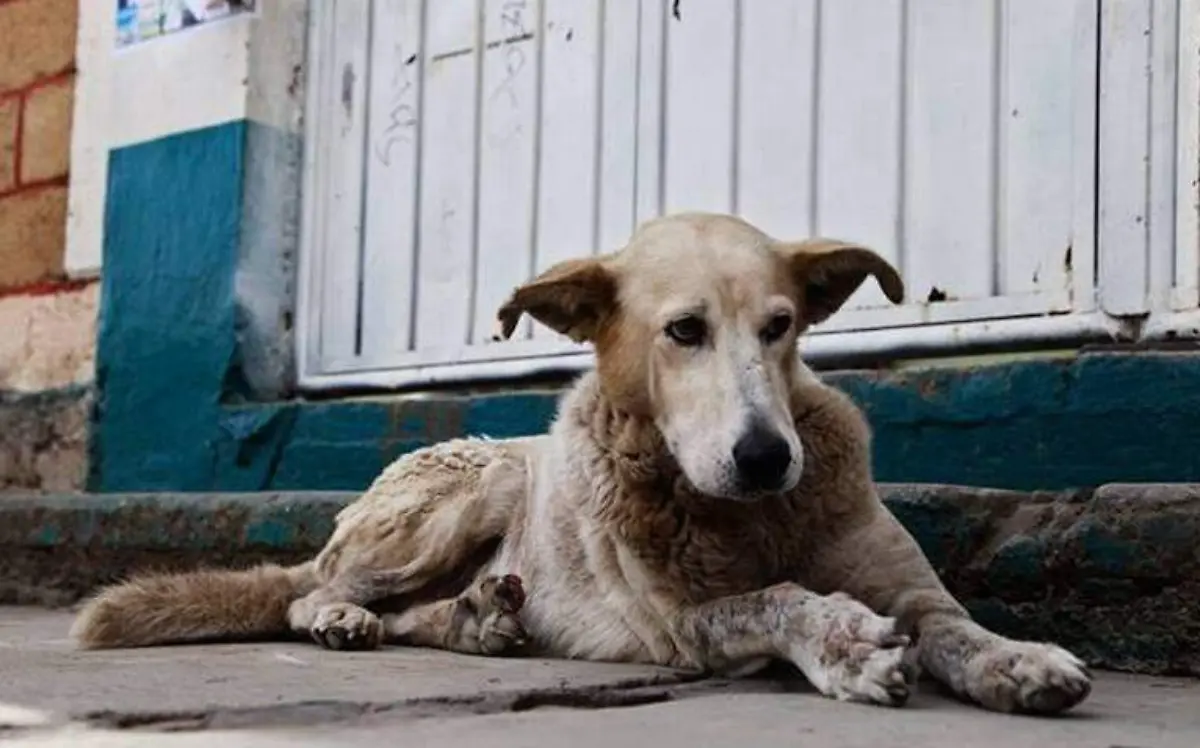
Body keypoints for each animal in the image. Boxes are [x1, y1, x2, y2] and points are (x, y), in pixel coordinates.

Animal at [70, 213, 1094, 715]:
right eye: (683, 331)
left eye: (781, 325)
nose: (768, 457)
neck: (750, 517)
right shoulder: (685, 628)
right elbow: (776, 600)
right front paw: (843, 644)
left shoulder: (906, 584)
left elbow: (953, 626)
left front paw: (1016, 660)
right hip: (472, 490)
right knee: (308, 592)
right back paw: (342, 619)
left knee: (410, 615)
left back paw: (476, 621)